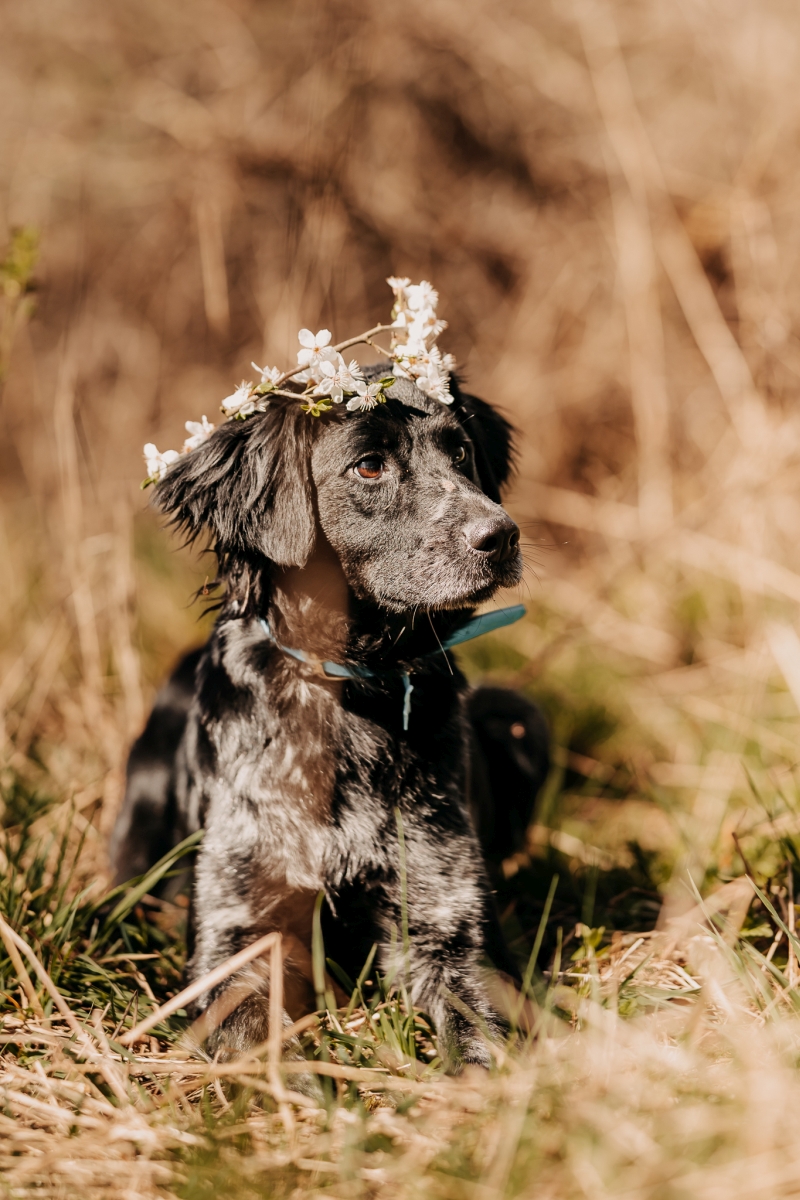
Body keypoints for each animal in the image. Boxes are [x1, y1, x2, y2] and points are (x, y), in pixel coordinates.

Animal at [111, 368, 548, 1069]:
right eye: (369, 466)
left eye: (460, 451)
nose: (500, 535)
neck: (348, 697)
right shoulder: (235, 931)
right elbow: (251, 1035)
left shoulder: (451, 925)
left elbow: (484, 1039)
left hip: (517, 714)